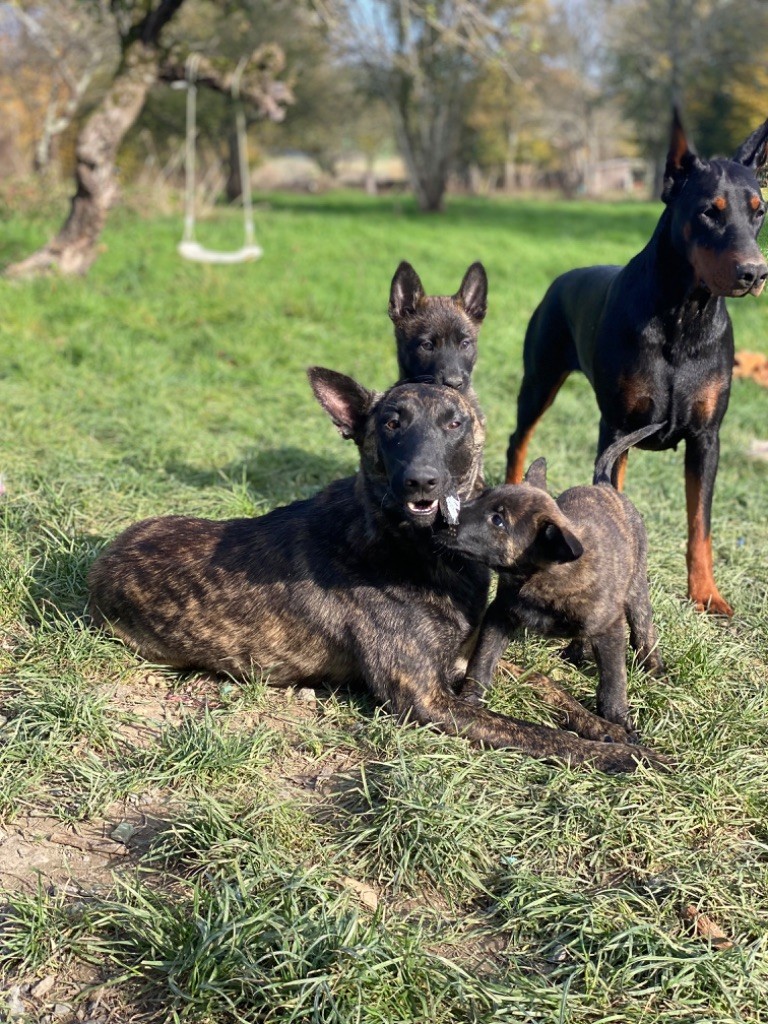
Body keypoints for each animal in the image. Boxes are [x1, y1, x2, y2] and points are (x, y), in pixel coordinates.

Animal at [85, 368, 663, 770]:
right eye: (390, 423)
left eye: (454, 423)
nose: (421, 481)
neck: (411, 550)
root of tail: (99, 565)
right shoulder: (426, 699)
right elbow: (538, 732)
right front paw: (624, 755)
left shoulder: (461, 660)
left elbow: (544, 682)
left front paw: (607, 726)